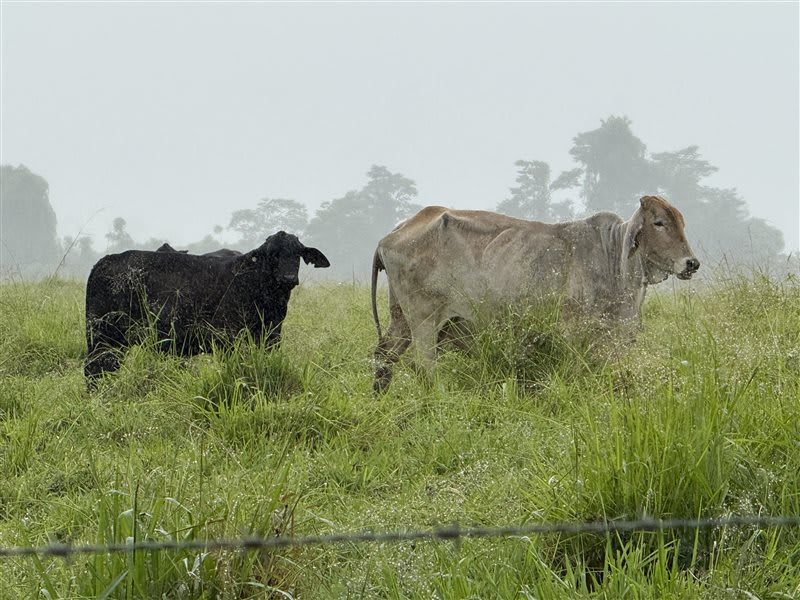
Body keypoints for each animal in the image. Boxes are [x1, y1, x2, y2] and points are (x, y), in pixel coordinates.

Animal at [85, 231, 329, 385]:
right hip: (103, 338)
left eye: (297, 253)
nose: (288, 278)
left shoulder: (271, 337)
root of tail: (104, 262)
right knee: (94, 370)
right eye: (273, 254)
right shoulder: (229, 337)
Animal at [370, 195, 699, 392]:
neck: (612, 256)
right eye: (659, 222)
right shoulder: (572, 331)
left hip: (400, 319)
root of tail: (391, 234)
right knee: (424, 366)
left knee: (383, 357)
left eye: (682, 222)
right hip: (424, 321)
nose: (691, 263)